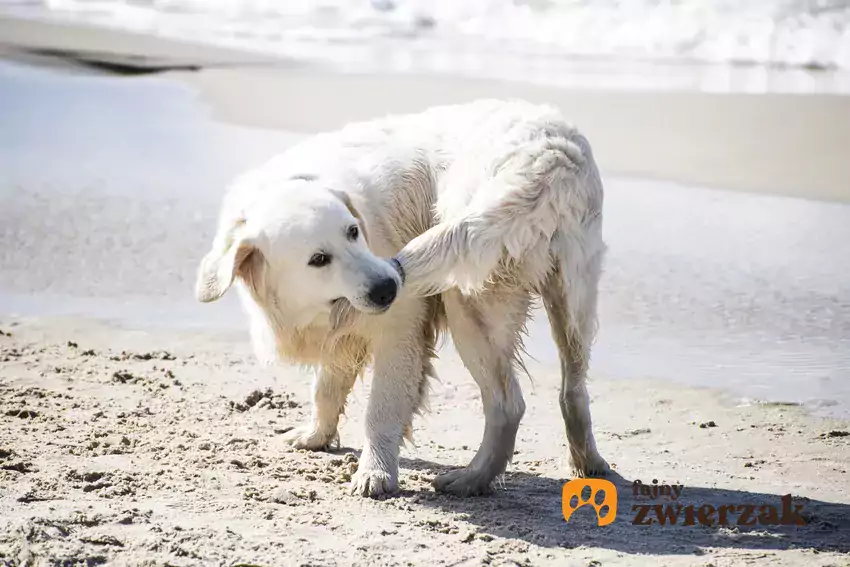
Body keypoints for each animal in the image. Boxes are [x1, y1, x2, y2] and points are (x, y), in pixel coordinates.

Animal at [195, 100, 608, 500]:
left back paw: (471, 479)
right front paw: (316, 436)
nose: (387, 288)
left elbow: (381, 409)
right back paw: (588, 464)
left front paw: (375, 473)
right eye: (319, 259)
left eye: (353, 232)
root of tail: (550, 157)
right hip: (572, 302)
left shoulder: (400, 329)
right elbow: (326, 388)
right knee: (573, 391)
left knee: (508, 404)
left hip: (467, 301)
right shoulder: (342, 336)